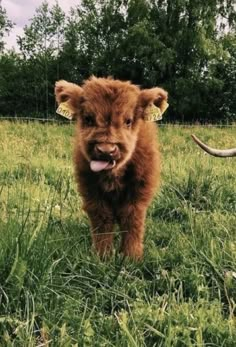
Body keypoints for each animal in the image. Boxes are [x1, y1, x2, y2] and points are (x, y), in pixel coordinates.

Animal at [54, 77, 168, 260]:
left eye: (128, 121)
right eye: (88, 119)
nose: (106, 150)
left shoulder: (139, 191)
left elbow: (131, 219)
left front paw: (131, 257)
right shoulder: (91, 191)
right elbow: (102, 219)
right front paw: (102, 256)